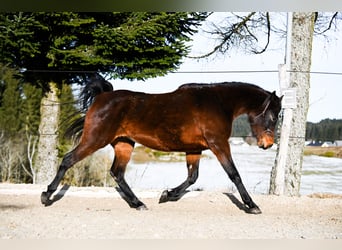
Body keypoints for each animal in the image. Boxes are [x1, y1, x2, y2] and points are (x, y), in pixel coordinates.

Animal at [41, 75, 282, 214]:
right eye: (272, 114)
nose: (268, 144)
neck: (218, 103)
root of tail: (103, 96)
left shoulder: (194, 149)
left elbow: (192, 177)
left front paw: (167, 195)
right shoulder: (219, 144)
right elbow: (234, 174)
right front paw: (252, 206)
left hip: (124, 144)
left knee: (117, 173)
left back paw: (137, 203)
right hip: (95, 139)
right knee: (68, 160)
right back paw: (47, 195)